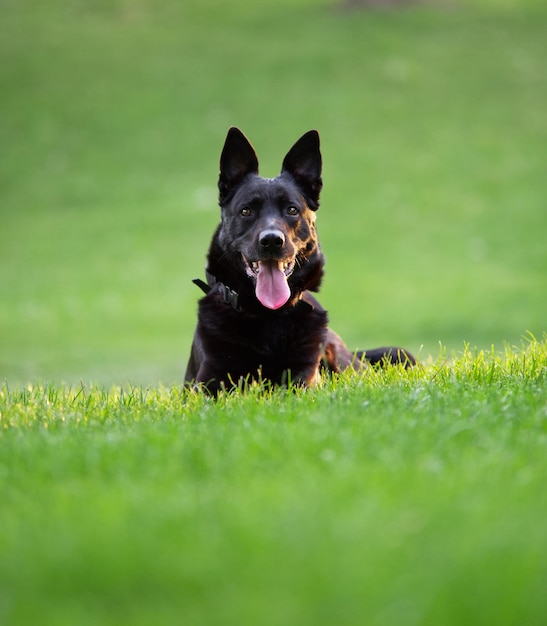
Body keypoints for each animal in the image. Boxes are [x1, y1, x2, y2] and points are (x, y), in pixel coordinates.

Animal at [185, 125, 416, 390]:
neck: (265, 314)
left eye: (292, 210)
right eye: (246, 211)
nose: (272, 240)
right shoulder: (207, 383)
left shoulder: (304, 378)